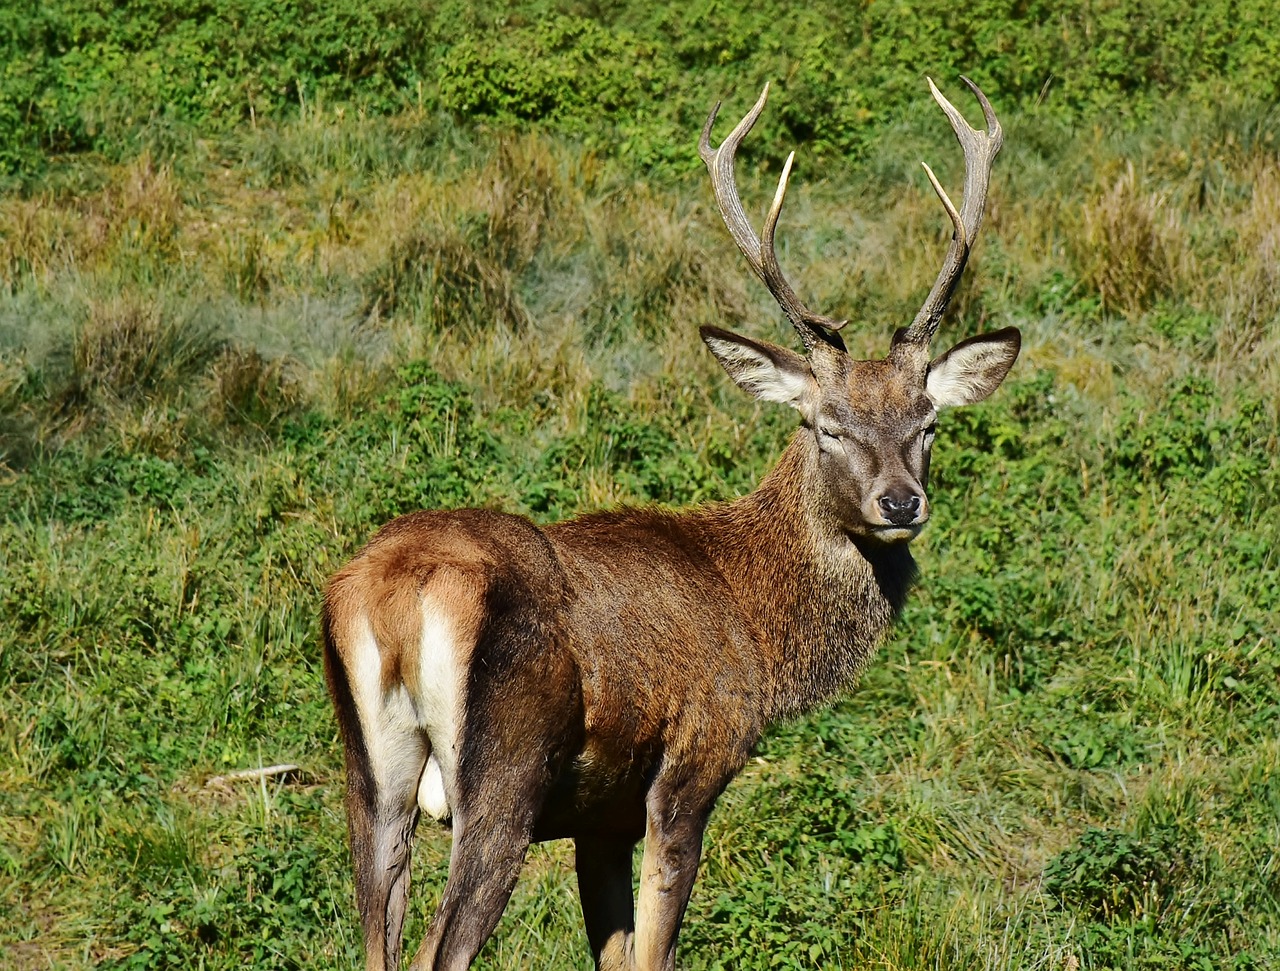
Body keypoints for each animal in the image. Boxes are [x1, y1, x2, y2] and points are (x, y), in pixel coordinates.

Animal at [322, 77, 1018, 971]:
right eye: (828, 424)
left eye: (928, 422)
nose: (900, 502)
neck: (758, 625)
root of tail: (397, 590)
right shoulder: (691, 763)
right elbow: (655, 950)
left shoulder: (601, 817)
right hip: (505, 768)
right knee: (440, 946)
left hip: (369, 771)